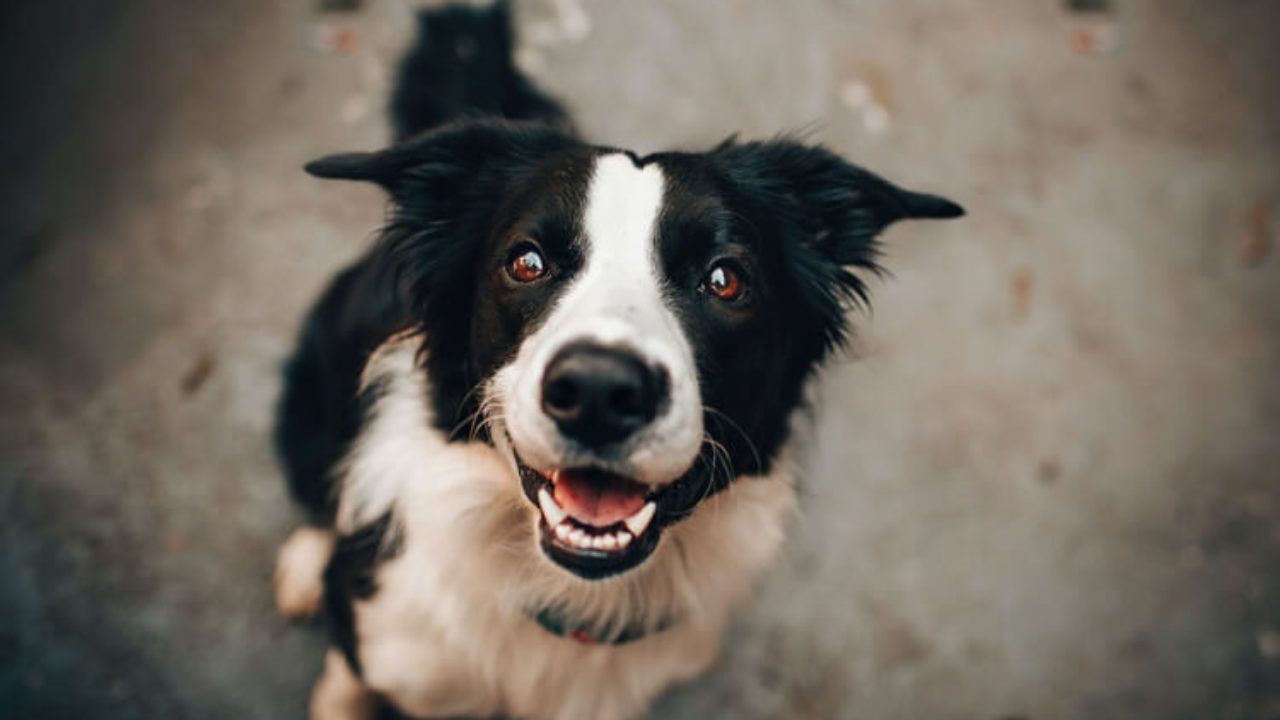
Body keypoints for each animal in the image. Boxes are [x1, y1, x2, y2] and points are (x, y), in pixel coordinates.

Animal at [275, 2, 962, 712]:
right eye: (527, 262)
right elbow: (344, 686)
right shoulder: (379, 641)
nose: (600, 393)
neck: (573, 597)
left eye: (725, 279)